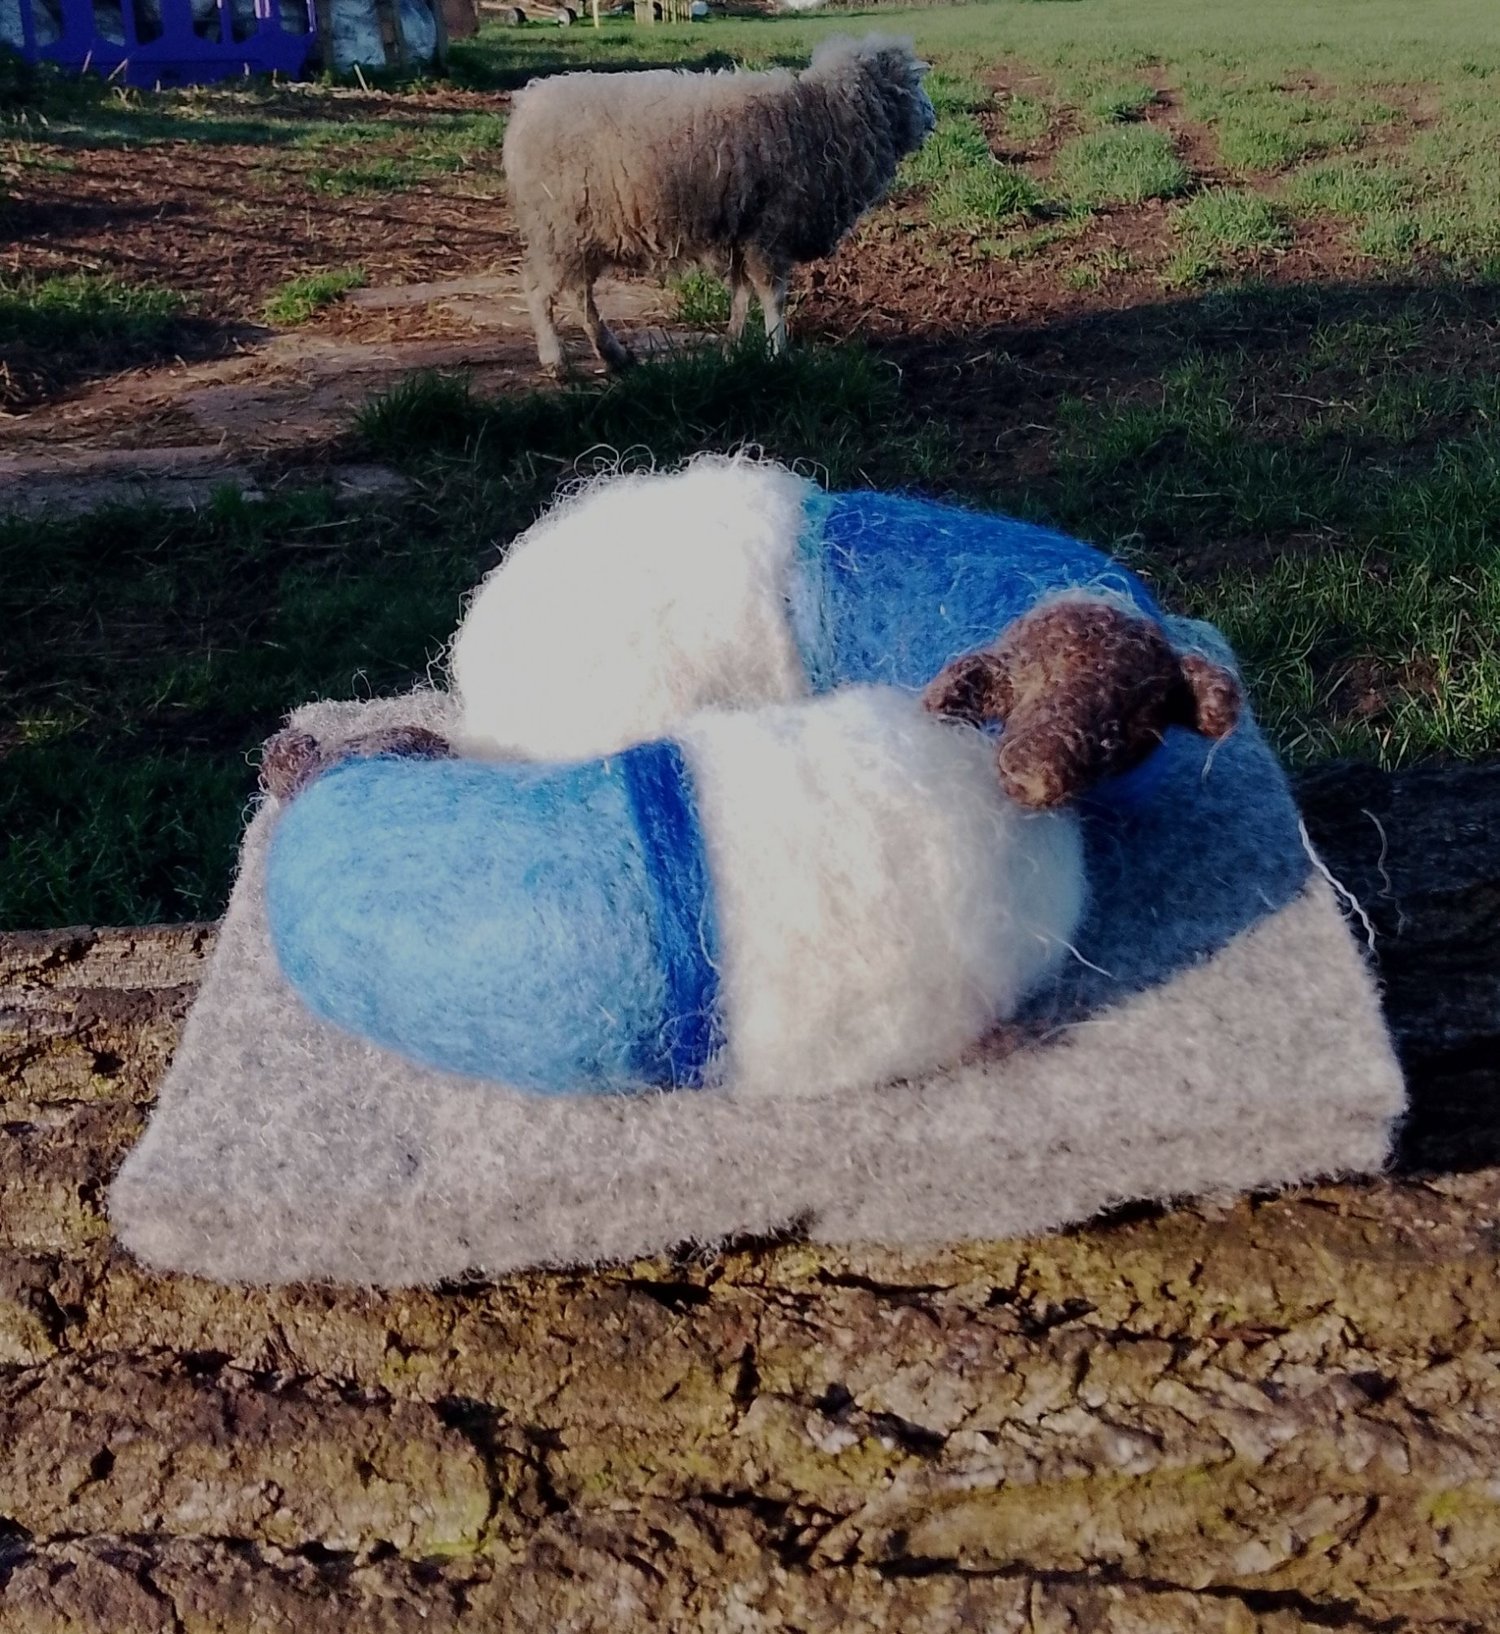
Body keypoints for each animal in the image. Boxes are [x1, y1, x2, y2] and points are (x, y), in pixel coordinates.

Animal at [501, 34, 936, 375]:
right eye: (910, 82)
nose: (932, 116)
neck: (818, 117)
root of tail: (527, 105)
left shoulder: (743, 231)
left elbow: (742, 294)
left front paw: (733, 347)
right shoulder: (768, 229)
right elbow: (772, 295)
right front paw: (779, 353)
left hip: (581, 232)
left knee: (578, 293)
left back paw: (613, 354)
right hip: (559, 226)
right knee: (540, 289)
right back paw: (555, 359)